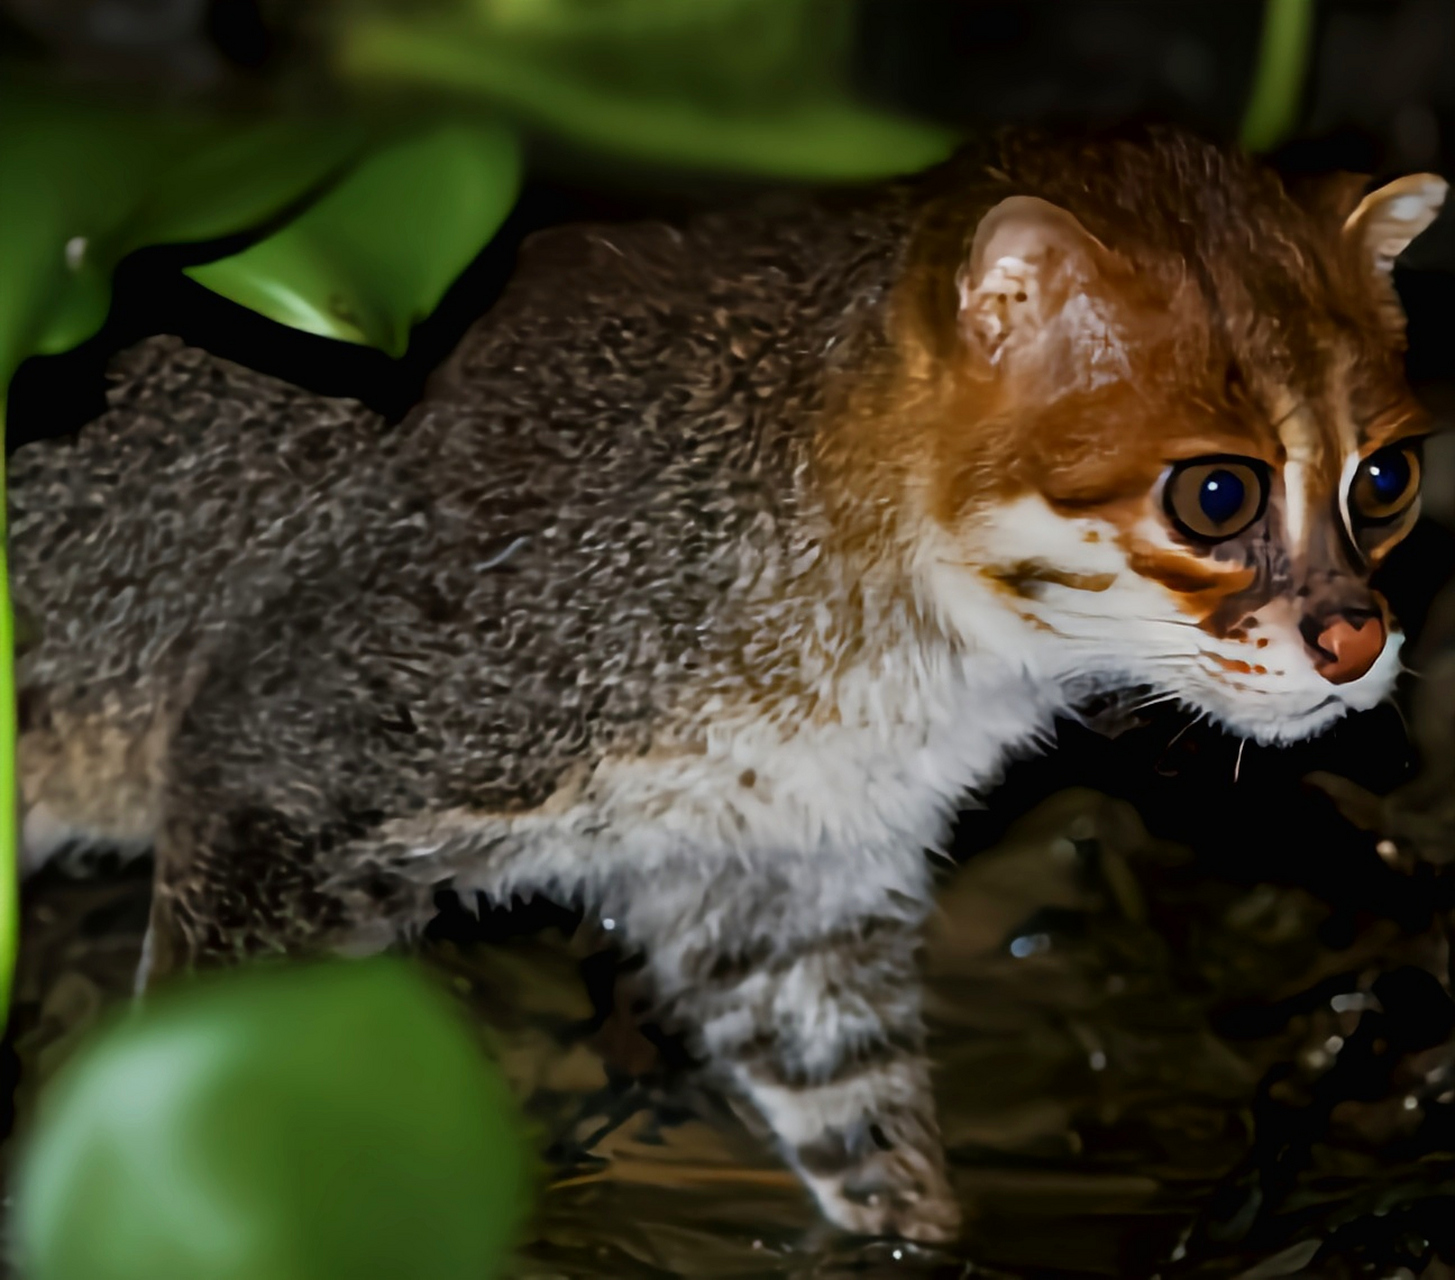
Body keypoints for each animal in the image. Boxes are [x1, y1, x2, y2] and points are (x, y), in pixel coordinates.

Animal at [11, 130, 1443, 1239]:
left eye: (1387, 478)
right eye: (1217, 495)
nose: (1359, 640)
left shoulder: (786, 886)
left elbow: (869, 1135)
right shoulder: (295, 748)